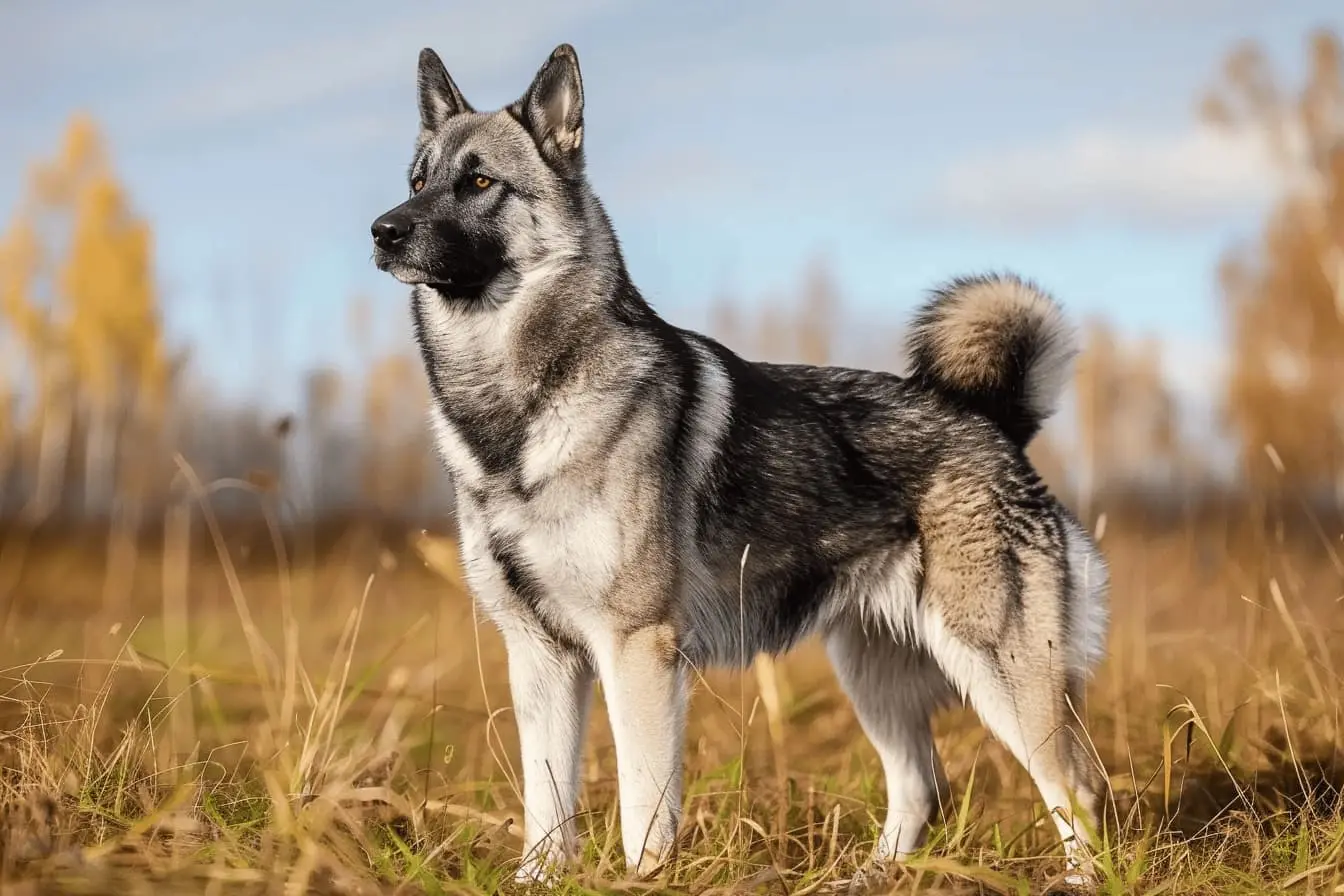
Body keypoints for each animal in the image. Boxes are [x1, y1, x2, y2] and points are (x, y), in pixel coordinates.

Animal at [373, 40, 1107, 881]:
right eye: (417, 181)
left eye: (479, 182)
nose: (382, 231)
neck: (513, 408)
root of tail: (993, 421)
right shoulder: (539, 656)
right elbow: (546, 808)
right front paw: (538, 881)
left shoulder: (638, 649)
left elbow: (643, 807)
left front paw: (644, 883)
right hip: (874, 672)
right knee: (923, 785)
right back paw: (864, 879)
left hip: (1001, 669)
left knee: (1078, 789)